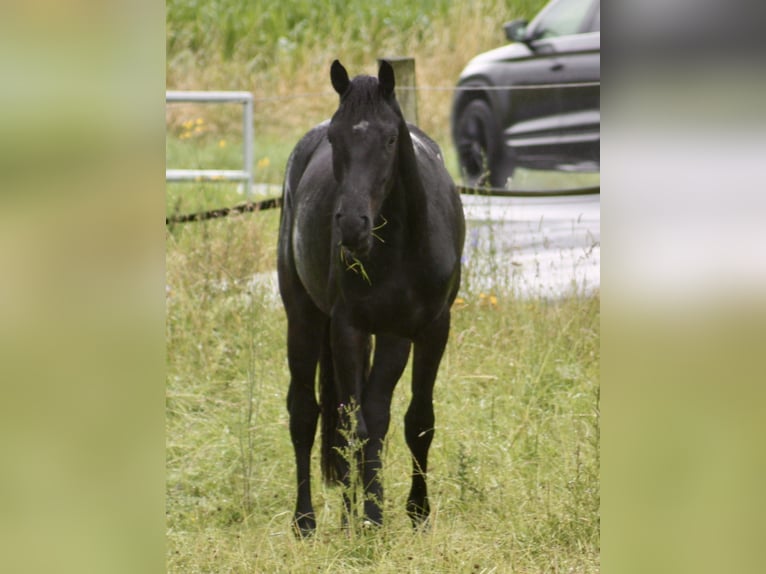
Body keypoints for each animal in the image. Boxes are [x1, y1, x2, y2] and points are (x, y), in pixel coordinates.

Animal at [278, 60, 464, 536]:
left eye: (391, 139)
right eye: (335, 138)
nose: (351, 226)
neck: (401, 244)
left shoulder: (426, 328)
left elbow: (414, 421)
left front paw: (416, 512)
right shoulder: (350, 327)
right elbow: (358, 424)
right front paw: (374, 517)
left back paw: (349, 514)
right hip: (304, 318)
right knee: (306, 412)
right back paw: (306, 520)